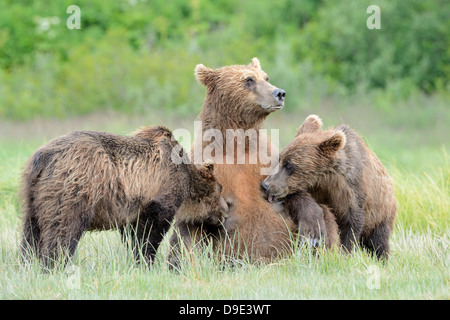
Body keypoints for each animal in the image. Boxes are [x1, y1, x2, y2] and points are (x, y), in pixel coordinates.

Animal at [264, 115, 398, 260]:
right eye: (280, 159)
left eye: (289, 165)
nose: (266, 185)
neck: (326, 178)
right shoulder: (316, 190)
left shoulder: (352, 190)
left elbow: (352, 223)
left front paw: (345, 253)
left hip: (381, 214)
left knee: (379, 241)